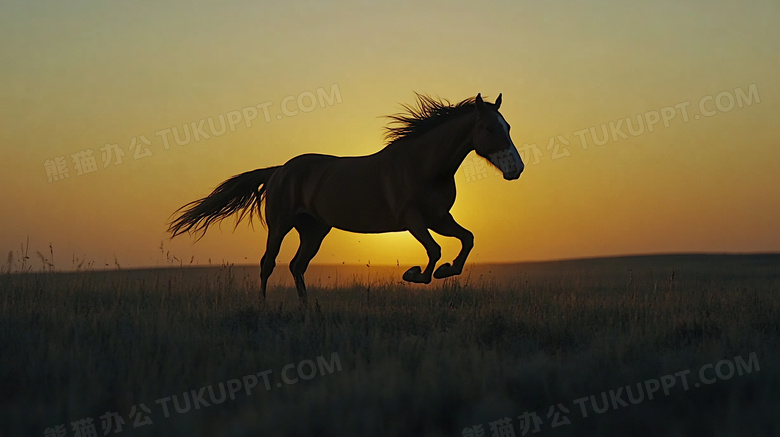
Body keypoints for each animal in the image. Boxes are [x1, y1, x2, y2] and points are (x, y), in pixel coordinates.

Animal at [170, 92, 524, 304]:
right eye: (489, 128)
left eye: (507, 126)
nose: (517, 169)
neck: (423, 164)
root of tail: (279, 170)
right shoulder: (413, 219)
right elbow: (435, 250)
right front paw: (415, 274)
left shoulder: (439, 218)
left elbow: (467, 239)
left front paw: (446, 271)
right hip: (280, 225)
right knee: (267, 263)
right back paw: (264, 308)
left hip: (314, 230)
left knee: (297, 266)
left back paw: (308, 312)